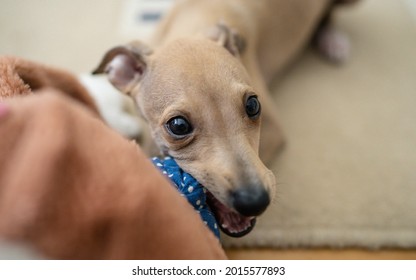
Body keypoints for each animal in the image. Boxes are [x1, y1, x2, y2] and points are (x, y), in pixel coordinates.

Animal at [94, 0, 358, 236]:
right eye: (178, 126)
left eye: (253, 104)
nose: (255, 201)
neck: (192, 26)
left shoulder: (272, 129)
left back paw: (332, 40)